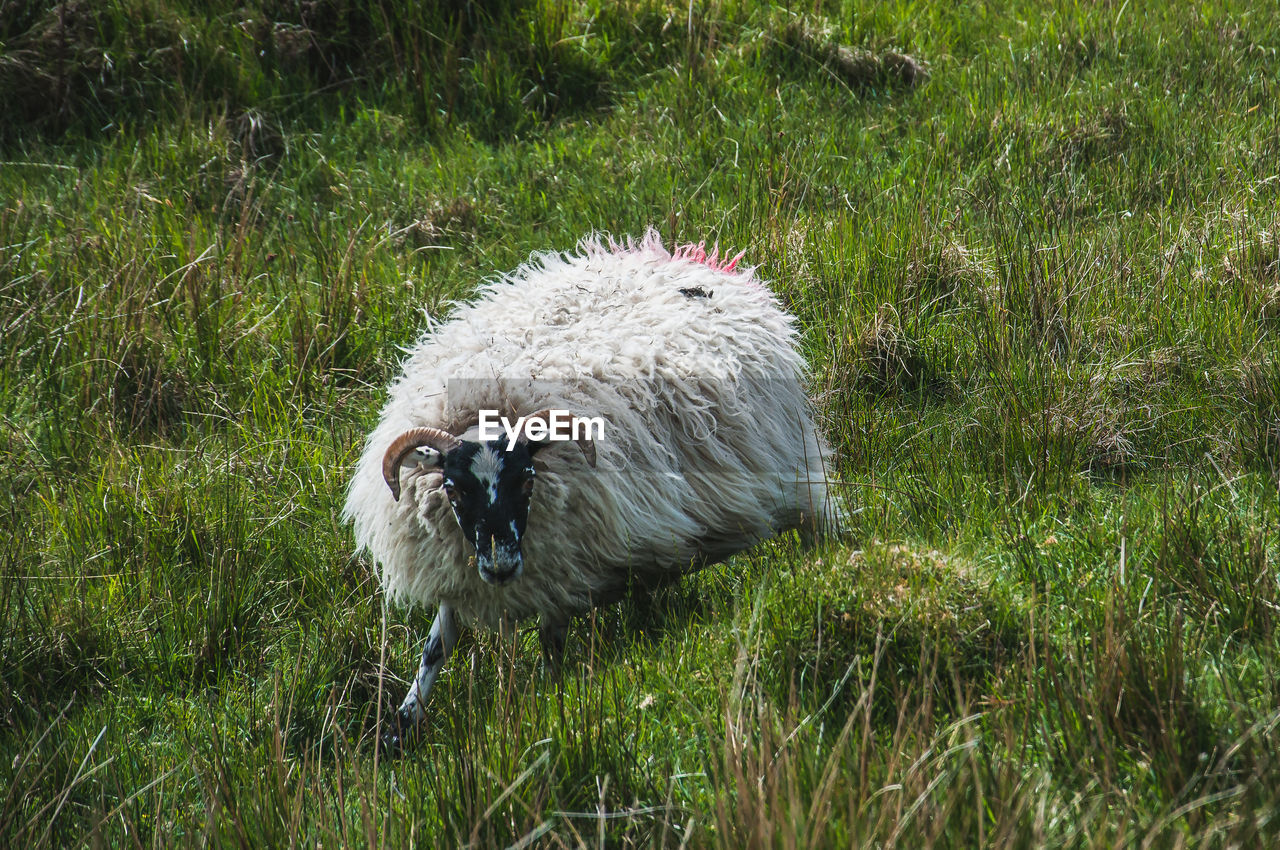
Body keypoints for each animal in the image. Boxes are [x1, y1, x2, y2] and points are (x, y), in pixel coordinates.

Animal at [345, 229, 834, 747]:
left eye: (527, 480)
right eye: (454, 491)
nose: (500, 566)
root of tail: (691, 259)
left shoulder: (563, 567)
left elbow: (551, 650)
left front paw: (545, 709)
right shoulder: (460, 571)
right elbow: (436, 649)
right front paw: (399, 729)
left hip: (792, 462)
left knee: (821, 518)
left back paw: (827, 567)